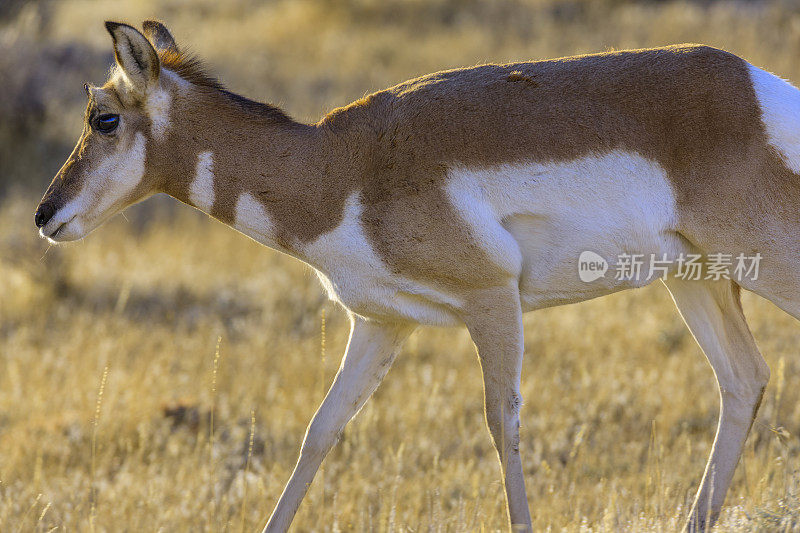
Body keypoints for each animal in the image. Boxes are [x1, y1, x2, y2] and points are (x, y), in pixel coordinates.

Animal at [34, 19, 796, 532]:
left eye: (104, 118)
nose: (45, 215)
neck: (336, 166)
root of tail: (757, 86)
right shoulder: (380, 324)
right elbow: (320, 430)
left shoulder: (492, 302)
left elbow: (502, 423)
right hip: (693, 277)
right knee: (743, 377)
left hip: (759, 263)